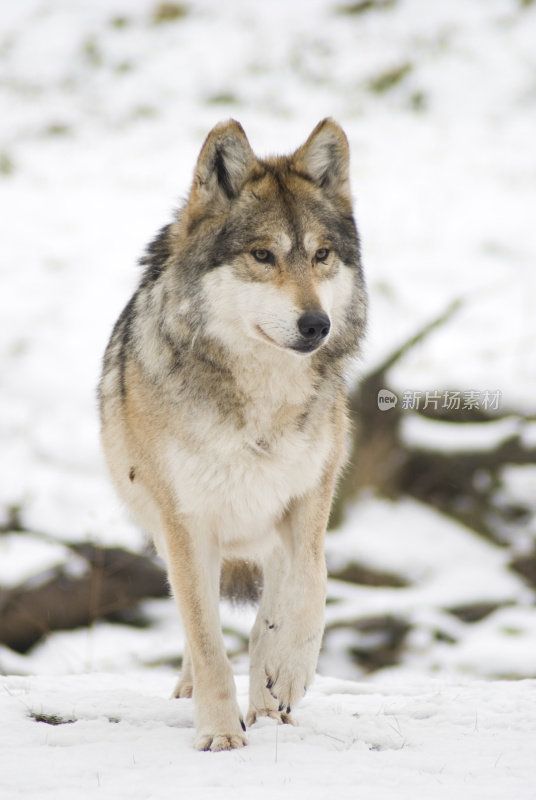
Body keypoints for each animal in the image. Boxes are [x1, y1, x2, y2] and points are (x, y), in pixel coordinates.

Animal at [99, 119, 368, 752]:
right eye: (263, 255)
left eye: (321, 255)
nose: (316, 325)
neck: (262, 406)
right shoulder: (187, 522)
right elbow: (205, 636)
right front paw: (220, 731)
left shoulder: (309, 497)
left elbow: (312, 585)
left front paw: (285, 675)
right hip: (168, 531)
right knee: (198, 626)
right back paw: (196, 691)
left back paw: (271, 697)